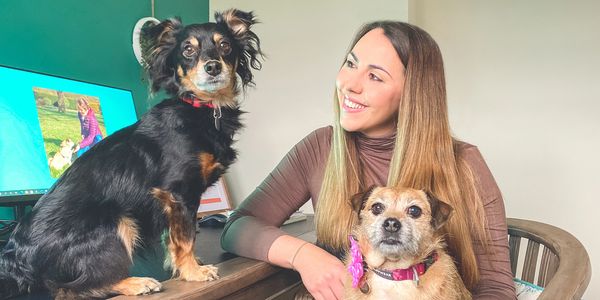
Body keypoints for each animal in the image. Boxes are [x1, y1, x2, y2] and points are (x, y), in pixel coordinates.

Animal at [0, 8, 262, 298]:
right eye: (188, 50)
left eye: (225, 46)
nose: (213, 66)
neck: (204, 109)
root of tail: (17, 257)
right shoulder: (179, 193)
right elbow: (185, 238)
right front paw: (193, 272)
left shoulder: (173, 202)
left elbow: (173, 238)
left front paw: (182, 266)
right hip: (117, 221)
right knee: (76, 287)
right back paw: (136, 282)